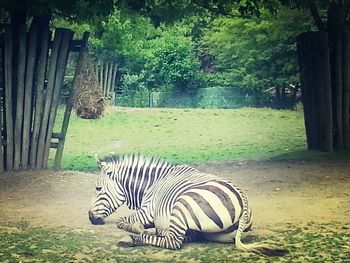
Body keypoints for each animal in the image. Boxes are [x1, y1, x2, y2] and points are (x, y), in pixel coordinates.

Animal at [87, 154, 288, 256]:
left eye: (98, 188)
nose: (89, 217)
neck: (152, 183)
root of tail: (243, 200)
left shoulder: (147, 211)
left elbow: (122, 220)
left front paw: (136, 228)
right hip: (211, 233)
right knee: (186, 236)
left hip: (181, 204)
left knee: (173, 241)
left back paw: (131, 238)